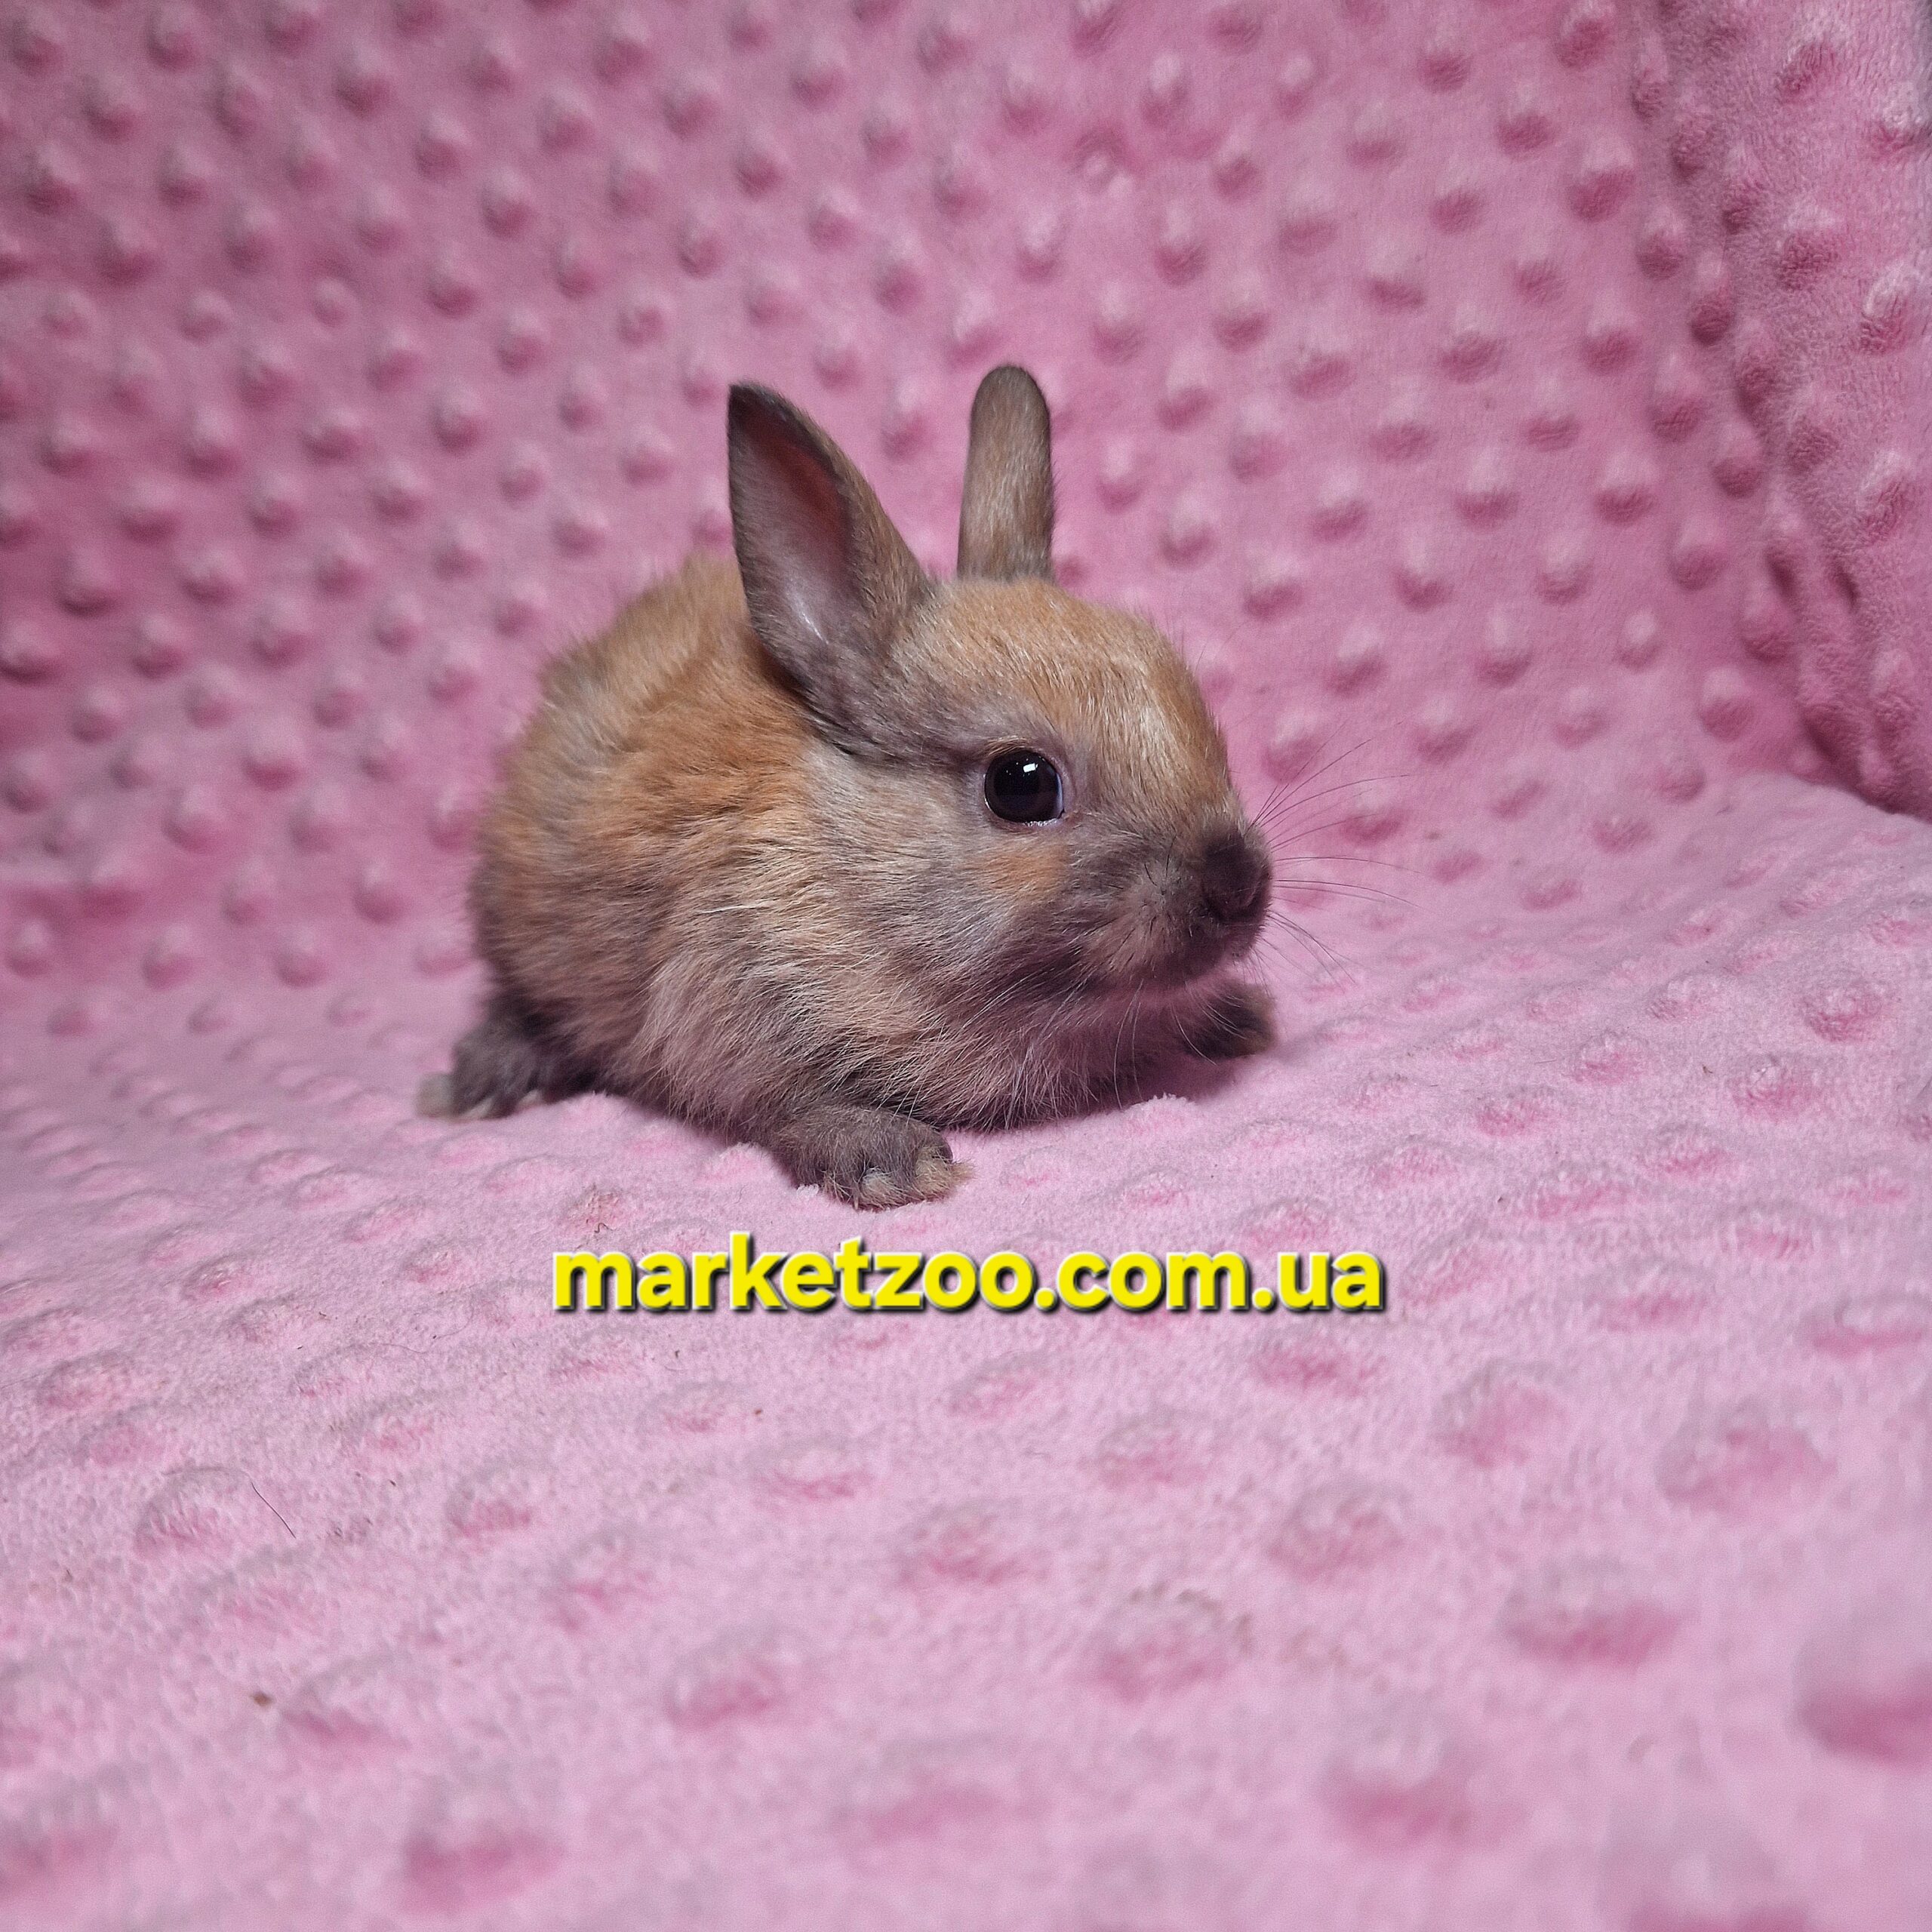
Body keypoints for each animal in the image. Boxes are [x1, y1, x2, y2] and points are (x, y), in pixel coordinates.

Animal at [418, 366, 1274, 1208]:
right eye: (1021, 785)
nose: (1237, 884)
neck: (853, 864)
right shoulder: (725, 1006)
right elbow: (786, 1102)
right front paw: (891, 1161)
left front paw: (1238, 1018)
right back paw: (487, 1080)